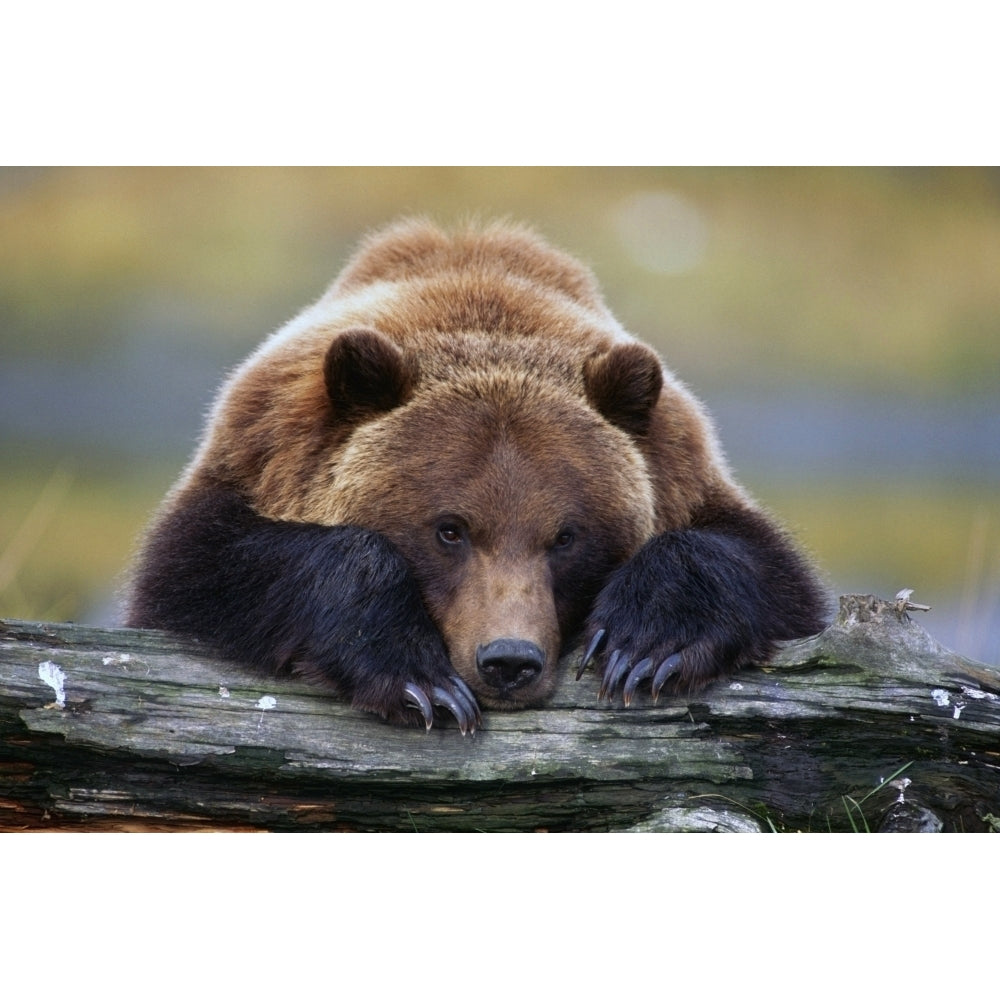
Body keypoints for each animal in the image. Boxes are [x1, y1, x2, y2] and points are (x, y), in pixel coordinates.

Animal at [125, 221, 828, 736]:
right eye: (449, 529)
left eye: (566, 536)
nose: (509, 660)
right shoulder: (251, 464)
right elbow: (202, 569)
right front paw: (419, 679)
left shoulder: (686, 477)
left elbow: (768, 575)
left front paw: (644, 647)